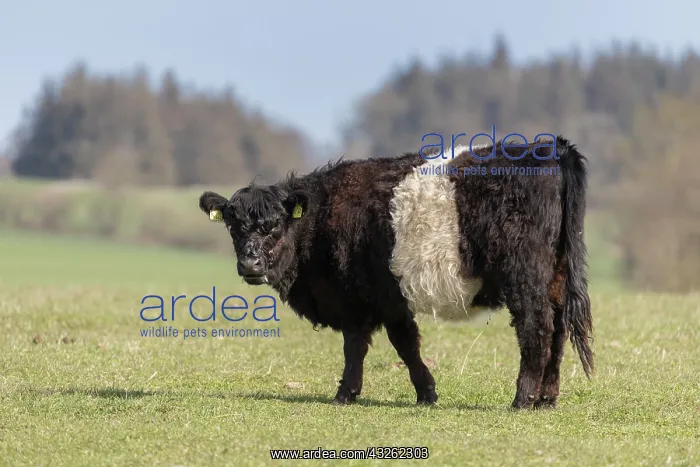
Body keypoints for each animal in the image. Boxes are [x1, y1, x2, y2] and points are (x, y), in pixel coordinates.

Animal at [198, 135, 593, 409]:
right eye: (234, 226)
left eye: (275, 226)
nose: (250, 265)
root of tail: (549, 147)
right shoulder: (372, 300)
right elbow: (375, 345)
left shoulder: (371, 297)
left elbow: (388, 345)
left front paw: (361, 394)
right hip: (556, 277)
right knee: (559, 330)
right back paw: (546, 398)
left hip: (525, 277)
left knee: (536, 328)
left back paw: (523, 399)